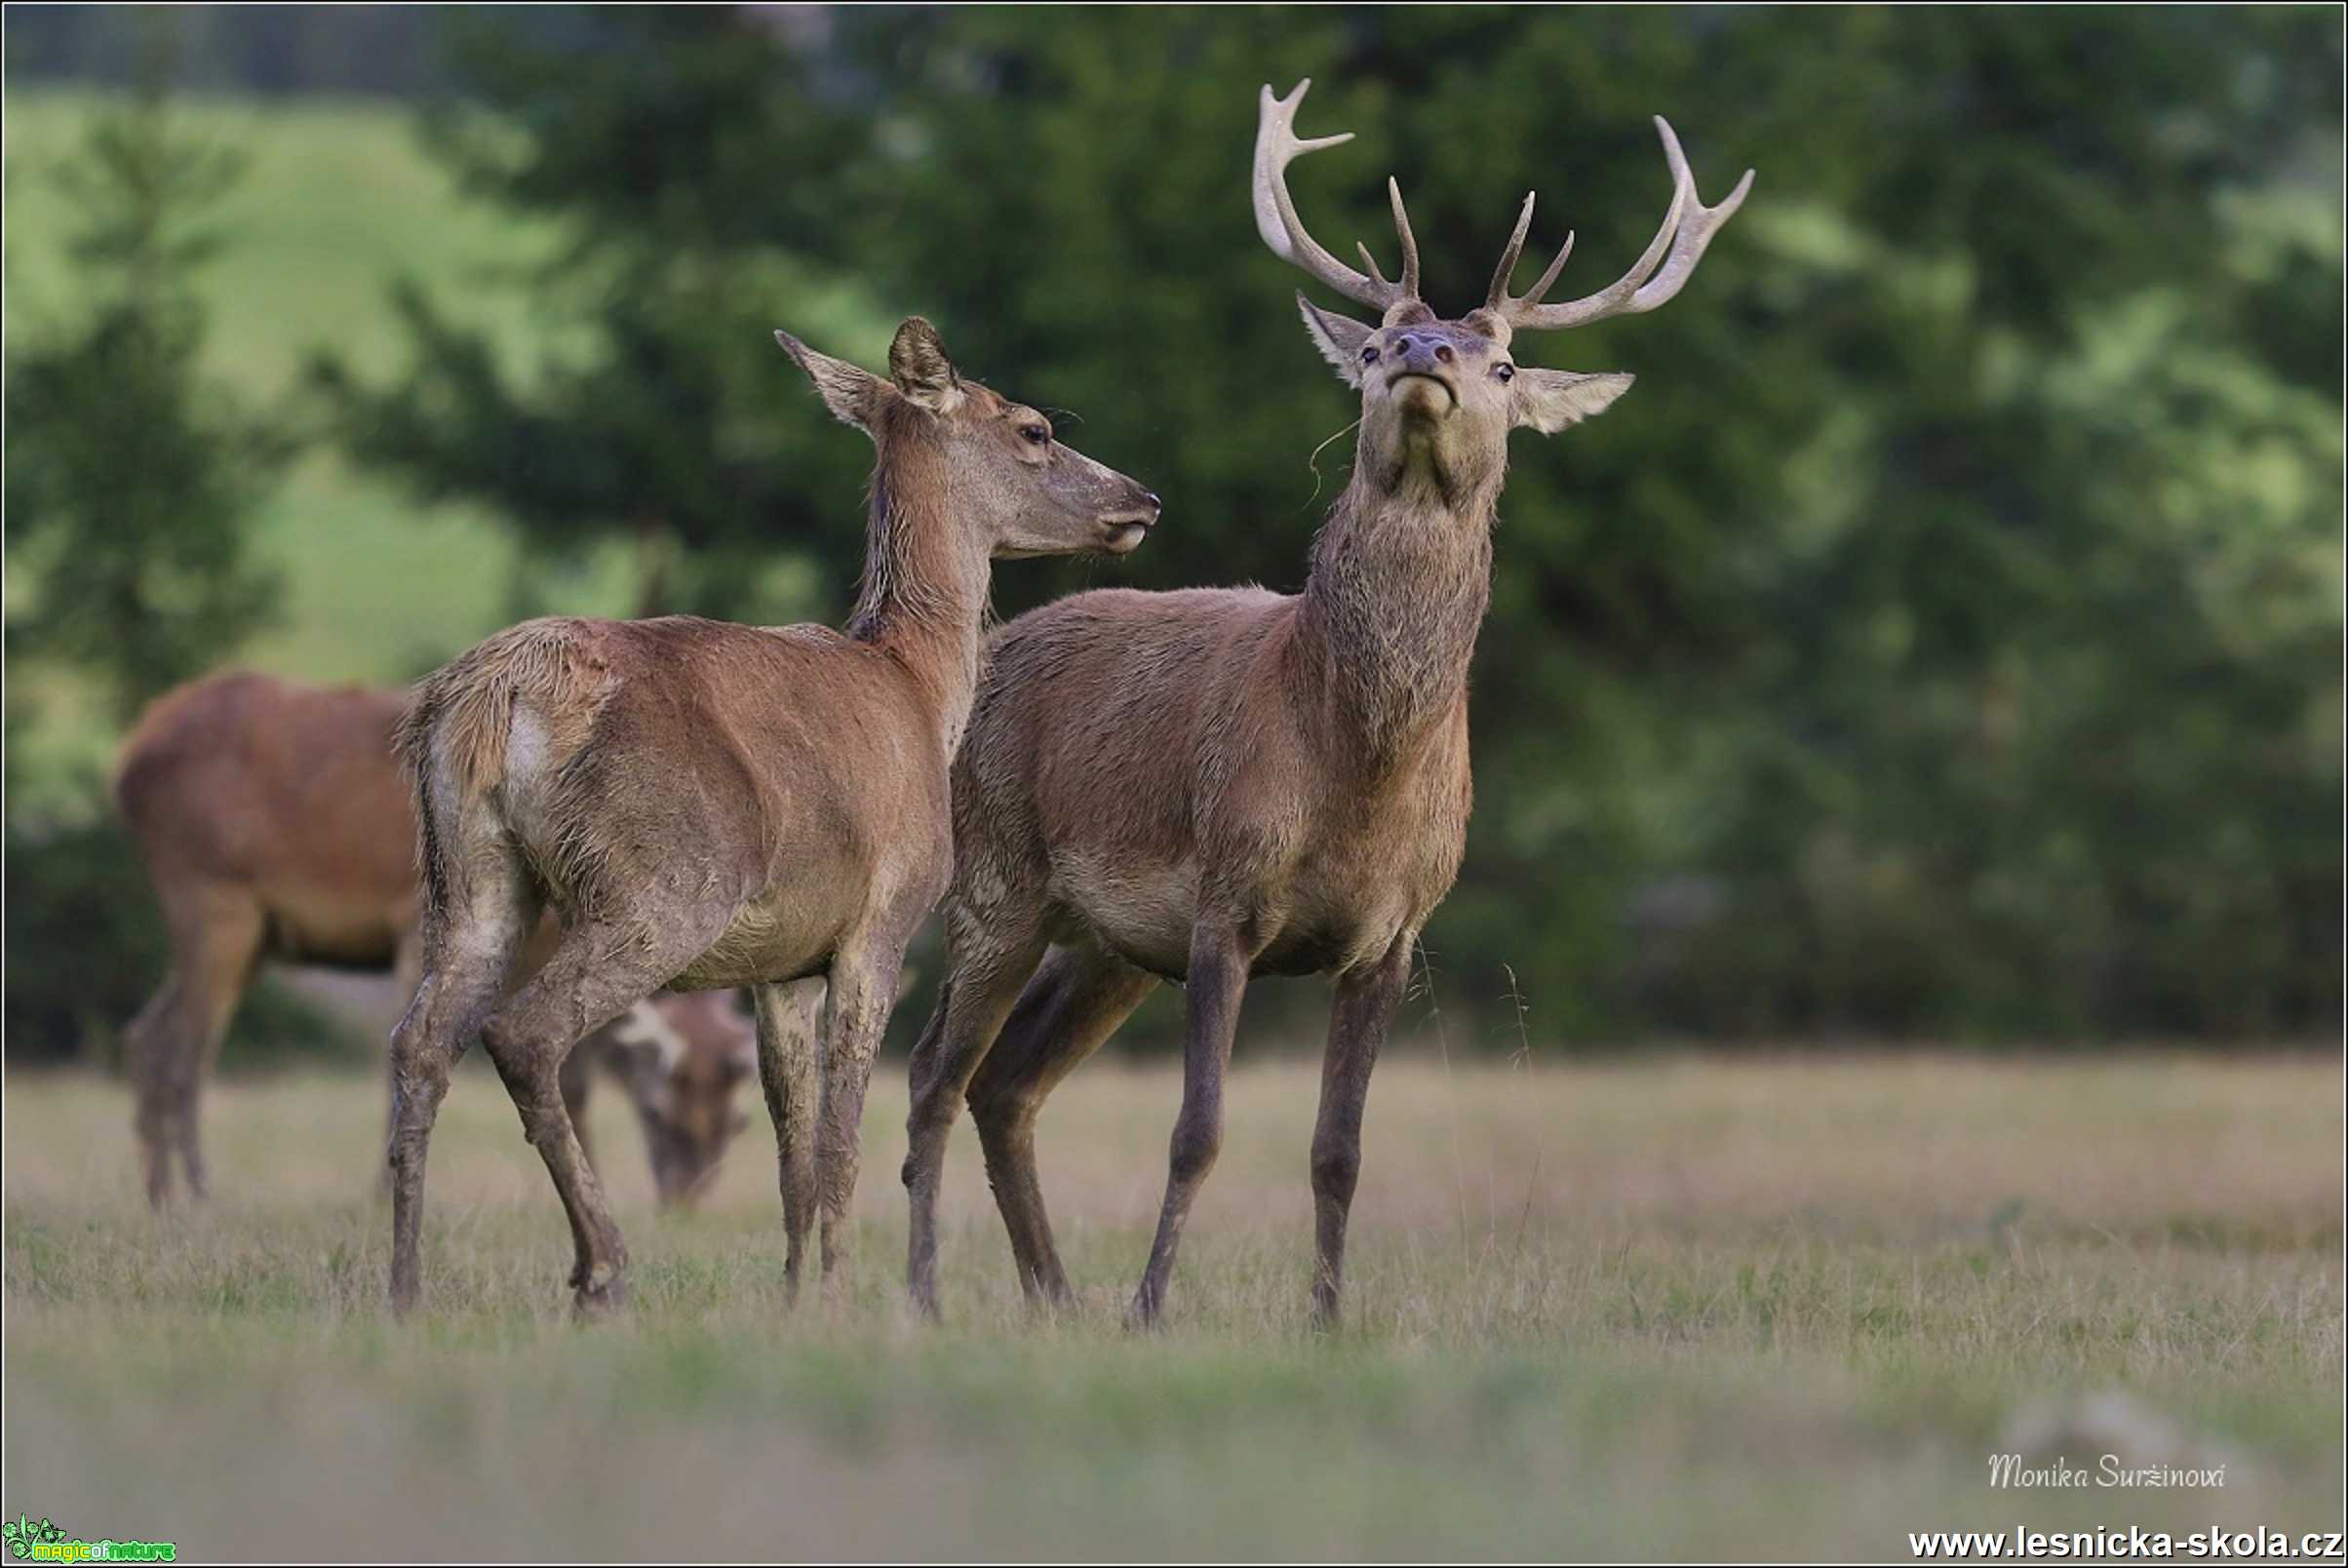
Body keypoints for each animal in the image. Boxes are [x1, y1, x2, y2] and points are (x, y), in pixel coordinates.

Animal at [114, 666, 756, 1211]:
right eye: (658, 1111)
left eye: (737, 1122)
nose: (686, 1201)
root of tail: (128, 755)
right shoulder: (409, 925)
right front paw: (382, 1193)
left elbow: (569, 1073)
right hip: (212, 897)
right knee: (186, 1052)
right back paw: (200, 1194)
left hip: (247, 932)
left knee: (146, 1034)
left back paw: (158, 1196)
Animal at [389, 319, 1169, 1314]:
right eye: (1033, 428)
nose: (1143, 498)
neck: (920, 690)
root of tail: (496, 691)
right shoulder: (881, 918)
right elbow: (841, 1135)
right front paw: (838, 1294)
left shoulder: (779, 963)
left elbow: (790, 1139)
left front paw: (795, 1294)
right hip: (661, 882)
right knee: (525, 1035)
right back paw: (601, 1268)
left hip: (468, 873)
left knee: (418, 1043)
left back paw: (404, 1285)